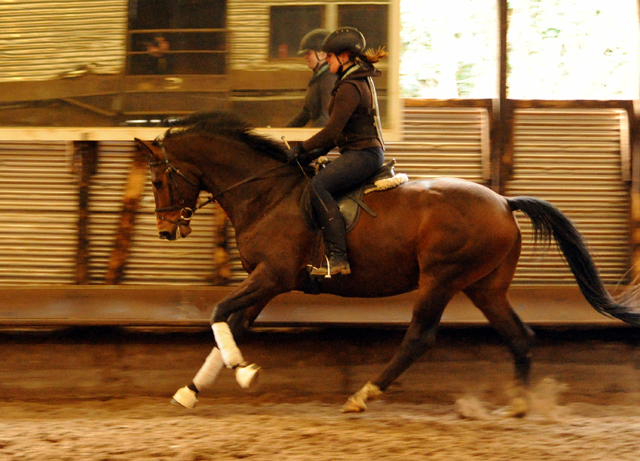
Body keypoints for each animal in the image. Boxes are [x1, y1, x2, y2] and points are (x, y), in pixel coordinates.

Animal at [136, 110, 640, 414]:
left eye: (159, 180)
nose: (166, 230)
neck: (265, 193)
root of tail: (502, 201)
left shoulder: (273, 276)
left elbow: (220, 313)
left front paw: (245, 373)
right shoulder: (266, 280)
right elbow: (232, 325)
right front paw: (189, 391)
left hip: (441, 278)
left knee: (419, 337)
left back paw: (363, 394)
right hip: (484, 286)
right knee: (519, 337)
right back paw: (517, 405)